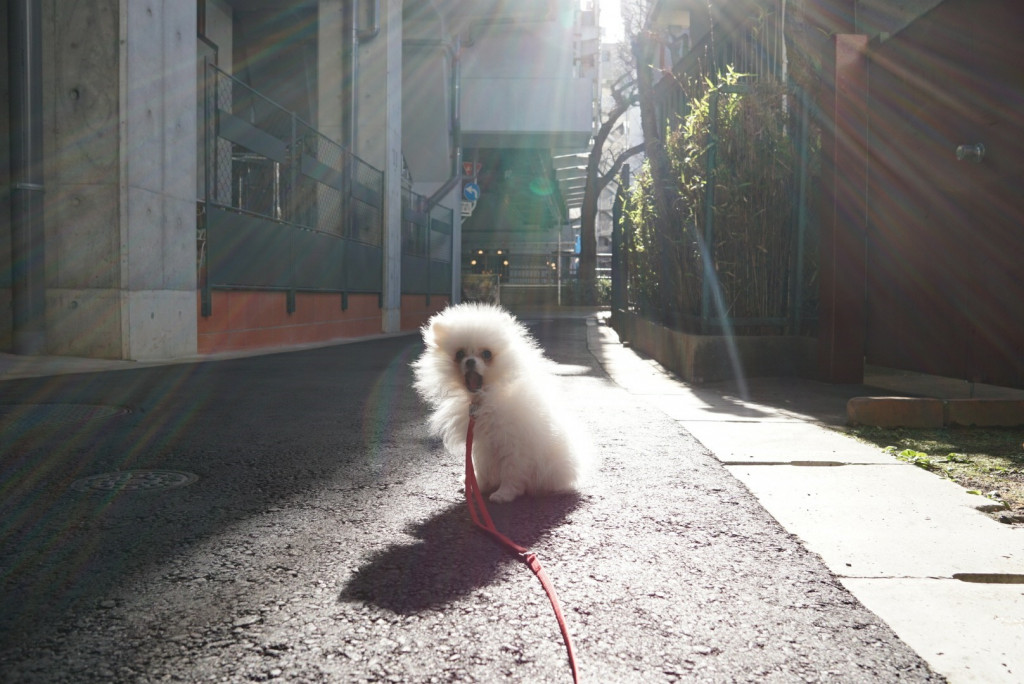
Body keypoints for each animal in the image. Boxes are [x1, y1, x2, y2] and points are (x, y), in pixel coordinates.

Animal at [409, 305, 589, 501]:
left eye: (487, 354)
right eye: (460, 354)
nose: (470, 361)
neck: (485, 398)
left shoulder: (514, 443)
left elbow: (512, 472)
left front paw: (504, 494)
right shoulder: (482, 445)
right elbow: (480, 468)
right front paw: (478, 486)